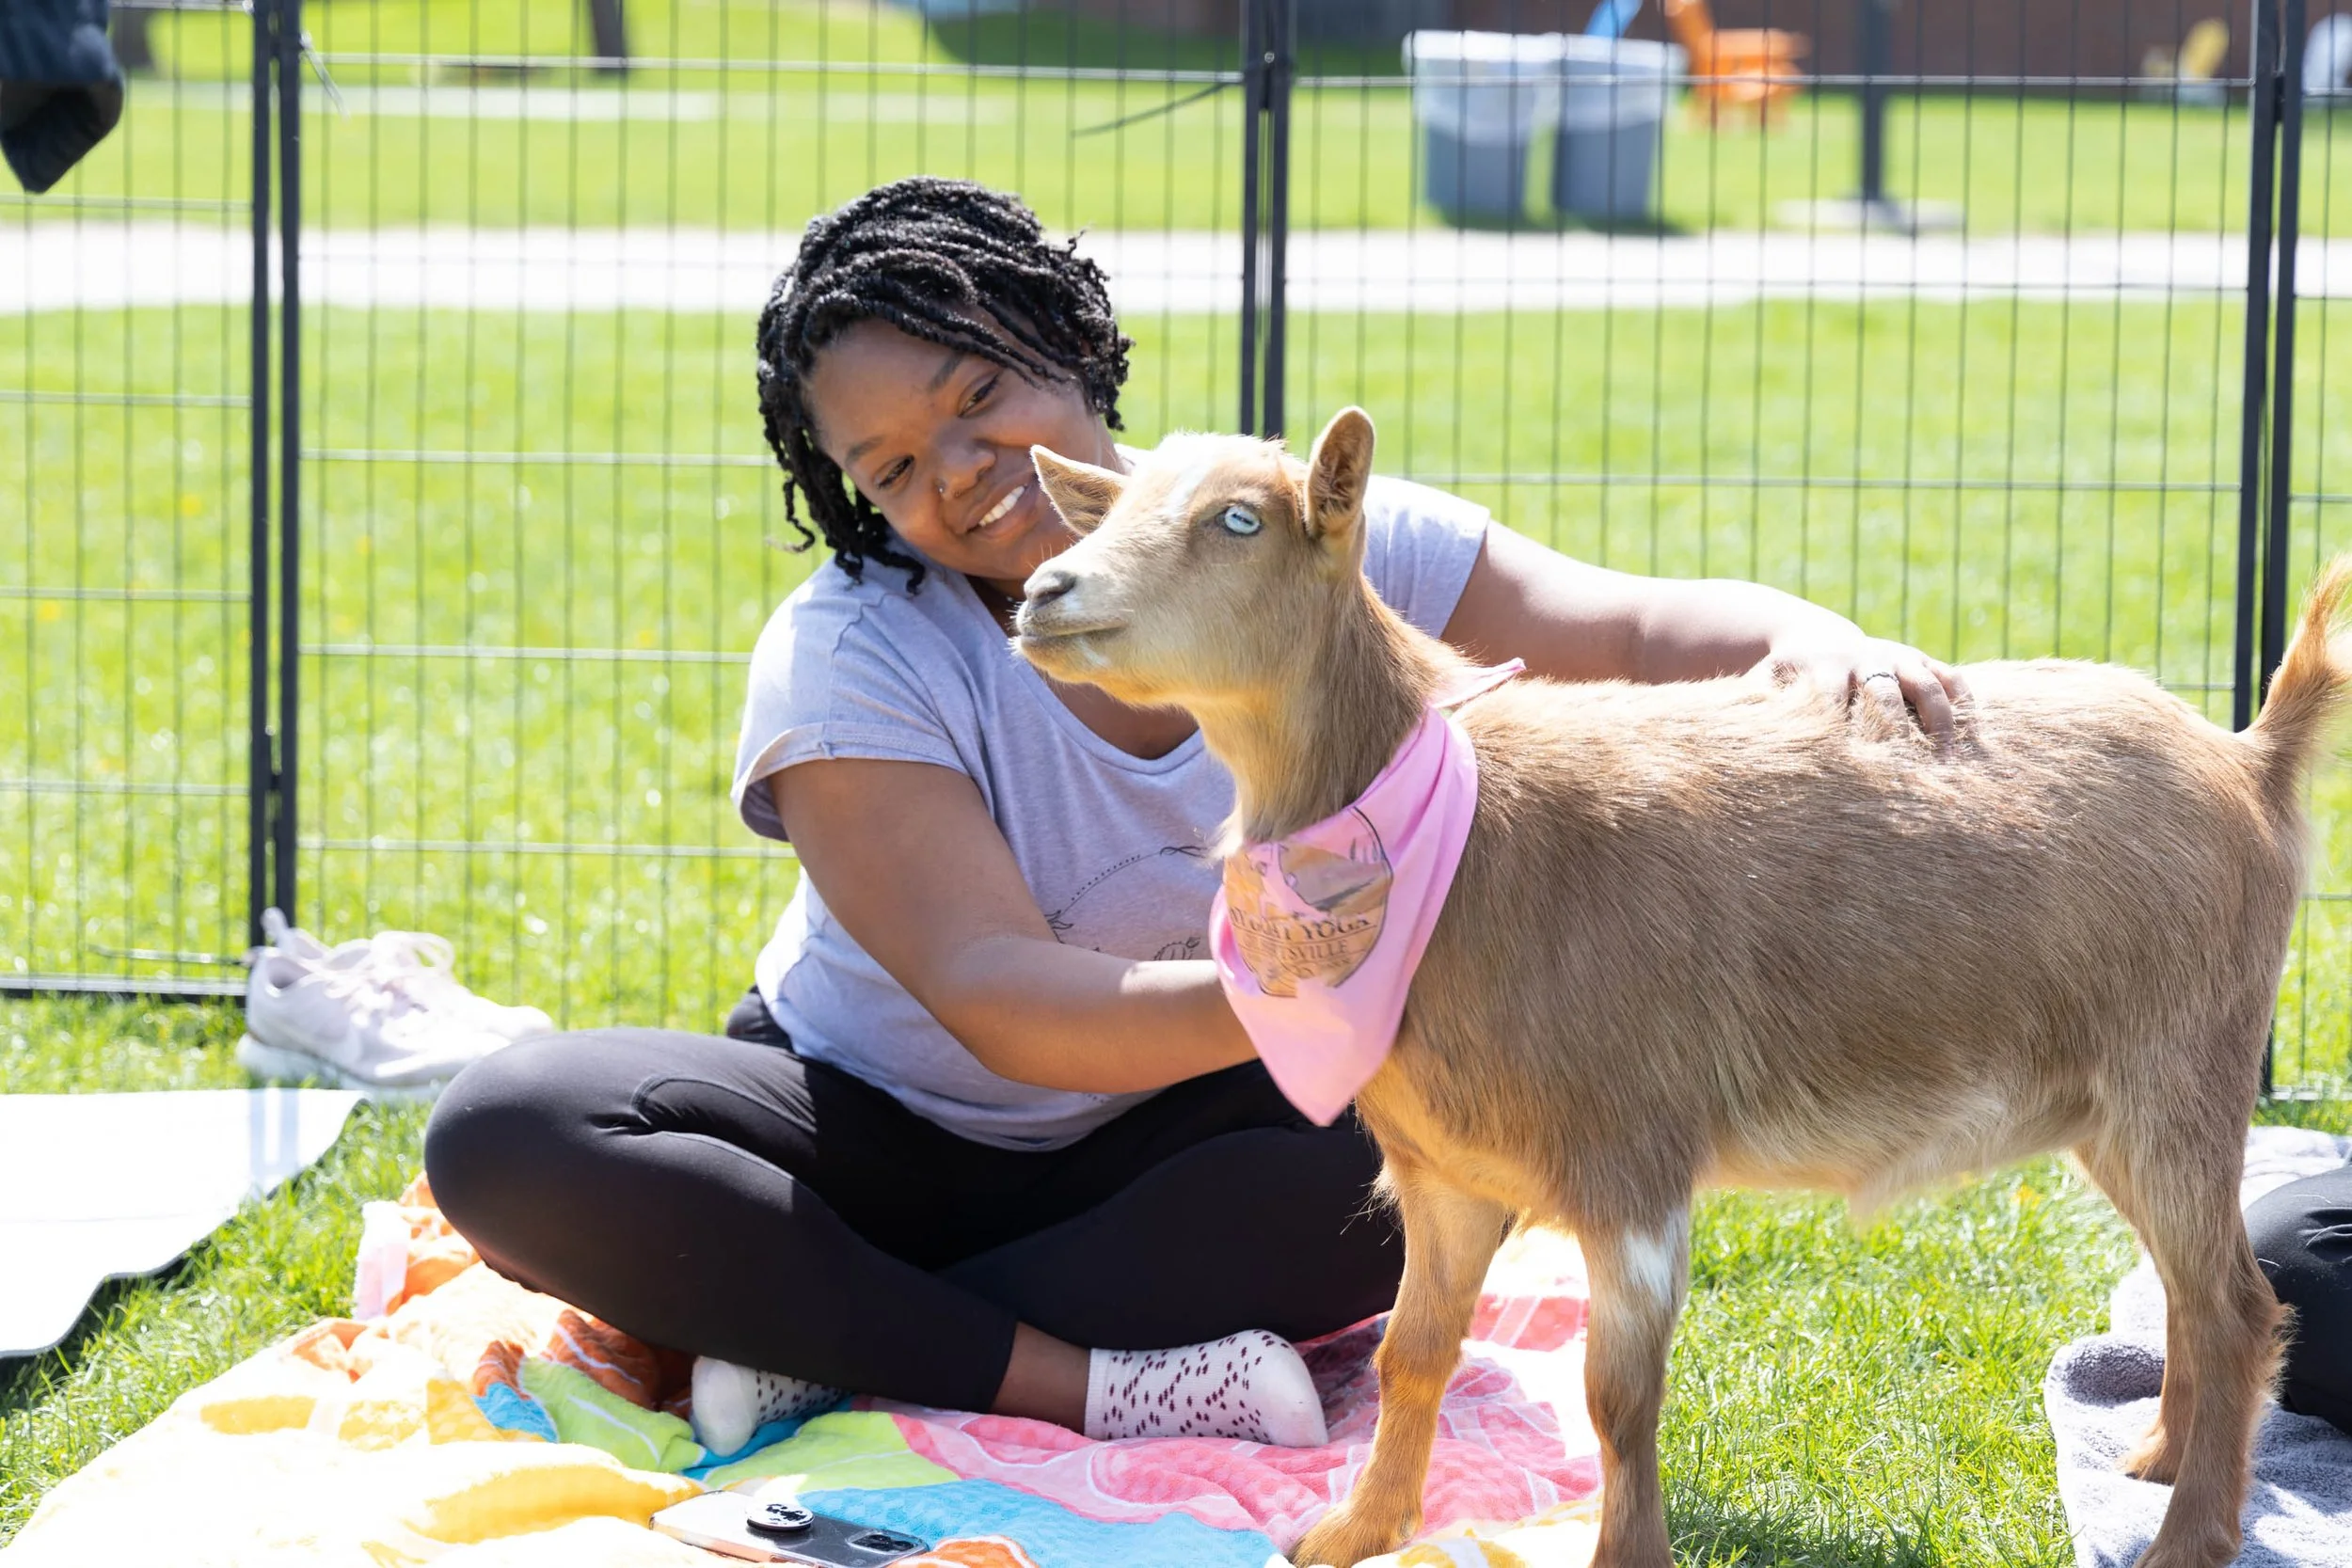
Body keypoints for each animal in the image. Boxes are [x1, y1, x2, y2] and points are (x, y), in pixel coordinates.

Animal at [1011, 407, 2348, 1568]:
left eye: (1238, 519)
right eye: (1111, 501)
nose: (1044, 592)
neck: (1457, 825)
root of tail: (2247, 755)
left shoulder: (1631, 1162)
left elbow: (1616, 1393)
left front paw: (1624, 1552)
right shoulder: (1445, 1174)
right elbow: (1410, 1352)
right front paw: (1353, 1531)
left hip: (2179, 1067)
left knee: (2237, 1306)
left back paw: (2185, 1538)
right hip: (2115, 1102)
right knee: (2190, 1291)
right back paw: (2156, 1460)